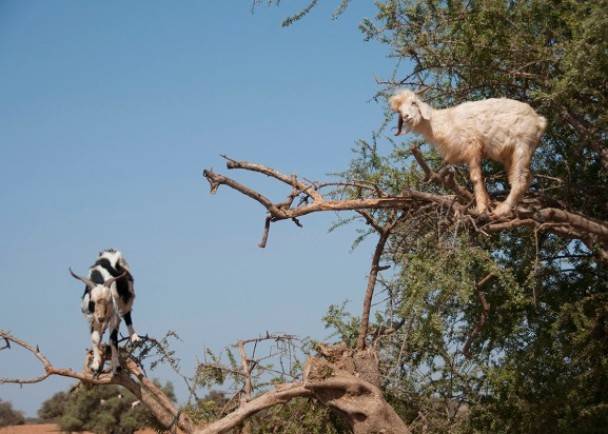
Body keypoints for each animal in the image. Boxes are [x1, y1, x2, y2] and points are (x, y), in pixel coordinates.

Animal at [392, 90, 548, 217]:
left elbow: (476, 178)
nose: (406, 117)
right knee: (521, 177)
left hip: (522, 145)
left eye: (413, 102)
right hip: (510, 154)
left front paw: (481, 209)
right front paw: (487, 204)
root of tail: (539, 120)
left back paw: (501, 211)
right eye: (399, 110)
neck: (443, 121)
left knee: (521, 179)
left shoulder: (472, 146)